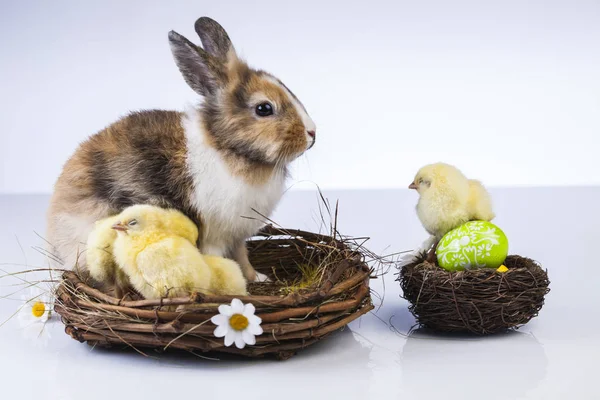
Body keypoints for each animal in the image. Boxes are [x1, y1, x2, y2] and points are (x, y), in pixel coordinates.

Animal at [45, 17, 316, 282]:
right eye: (264, 108)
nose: (312, 134)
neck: (226, 146)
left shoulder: (237, 235)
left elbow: (243, 257)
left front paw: (257, 278)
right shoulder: (214, 235)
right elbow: (220, 258)